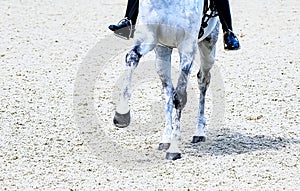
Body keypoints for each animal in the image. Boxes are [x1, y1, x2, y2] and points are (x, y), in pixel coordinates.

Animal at [113, 0, 219, 160]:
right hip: (162, 53)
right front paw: (121, 115)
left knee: (203, 80)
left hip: (209, 47)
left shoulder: (187, 48)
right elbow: (132, 57)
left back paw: (199, 131)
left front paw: (174, 149)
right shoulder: (151, 39)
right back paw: (166, 139)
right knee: (167, 93)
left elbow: (180, 98)